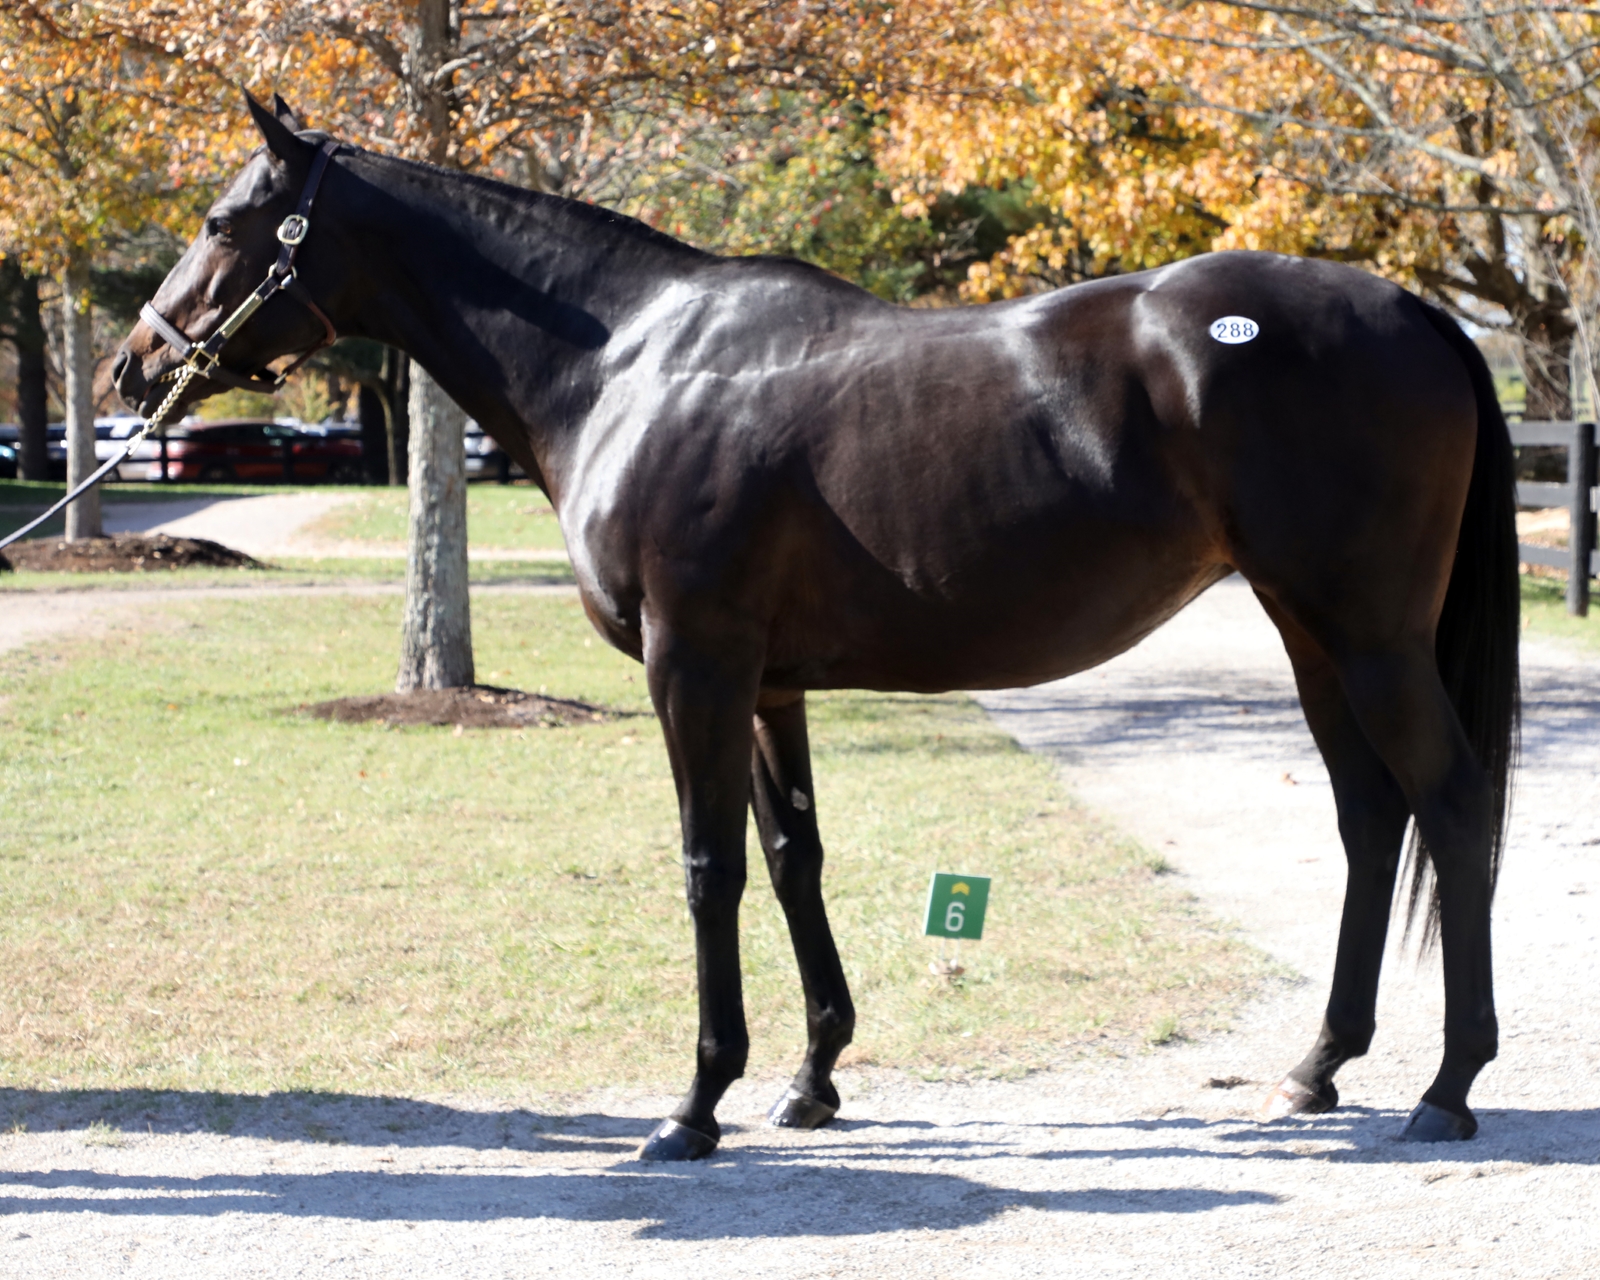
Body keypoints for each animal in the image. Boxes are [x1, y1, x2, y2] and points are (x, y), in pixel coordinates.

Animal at [113, 96, 1519, 1161]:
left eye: (224, 222)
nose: (139, 362)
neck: (629, 361)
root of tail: (1411, 309)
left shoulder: (694, 665)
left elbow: (709, 867)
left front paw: (694, 1103)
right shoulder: (766, 682)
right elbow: (793, 854)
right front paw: (811, 1077)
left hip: (1368, 634)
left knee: (1449, 803)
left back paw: (1448, 1087)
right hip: (1311, 632)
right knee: (1370, 816)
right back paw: (1317, 1065)